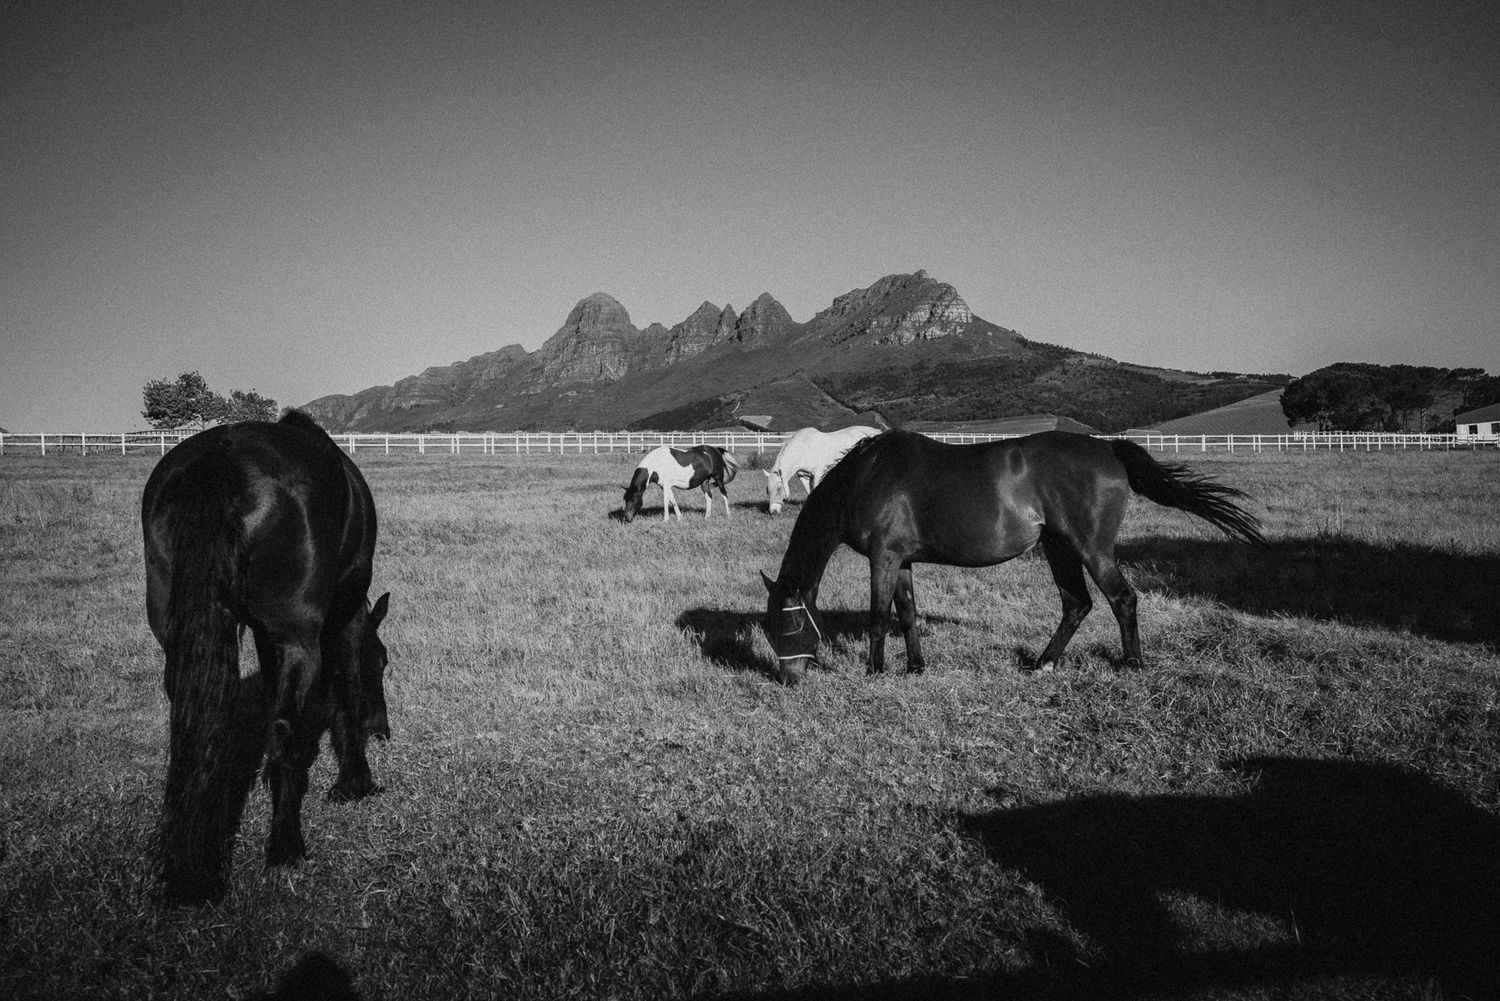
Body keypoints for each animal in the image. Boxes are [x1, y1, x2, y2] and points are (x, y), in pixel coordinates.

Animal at [141, 409, 391, 903]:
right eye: (383, 659)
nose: (383, 730)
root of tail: (220, 462)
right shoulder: (343, 615)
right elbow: (345, 688)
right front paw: (354, 782)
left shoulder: (263, 633)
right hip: (298, 637)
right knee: (283, 732)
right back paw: (285, 846)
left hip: (176, 635)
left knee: (197, 728)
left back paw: (195, 858)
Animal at [760, 429, 1263, 683]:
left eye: (786, 625)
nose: (788, 680)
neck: (866, 476)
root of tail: (1107, 447)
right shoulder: (901, 561)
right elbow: (907, 614)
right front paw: (915, 668)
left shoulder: (883, 558)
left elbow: (879, 617)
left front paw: (875, 670)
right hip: (1059, 548)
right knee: (1077, 604)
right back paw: (1042, 663)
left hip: (1090, 549)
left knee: (1122, 599)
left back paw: (1132, 664)